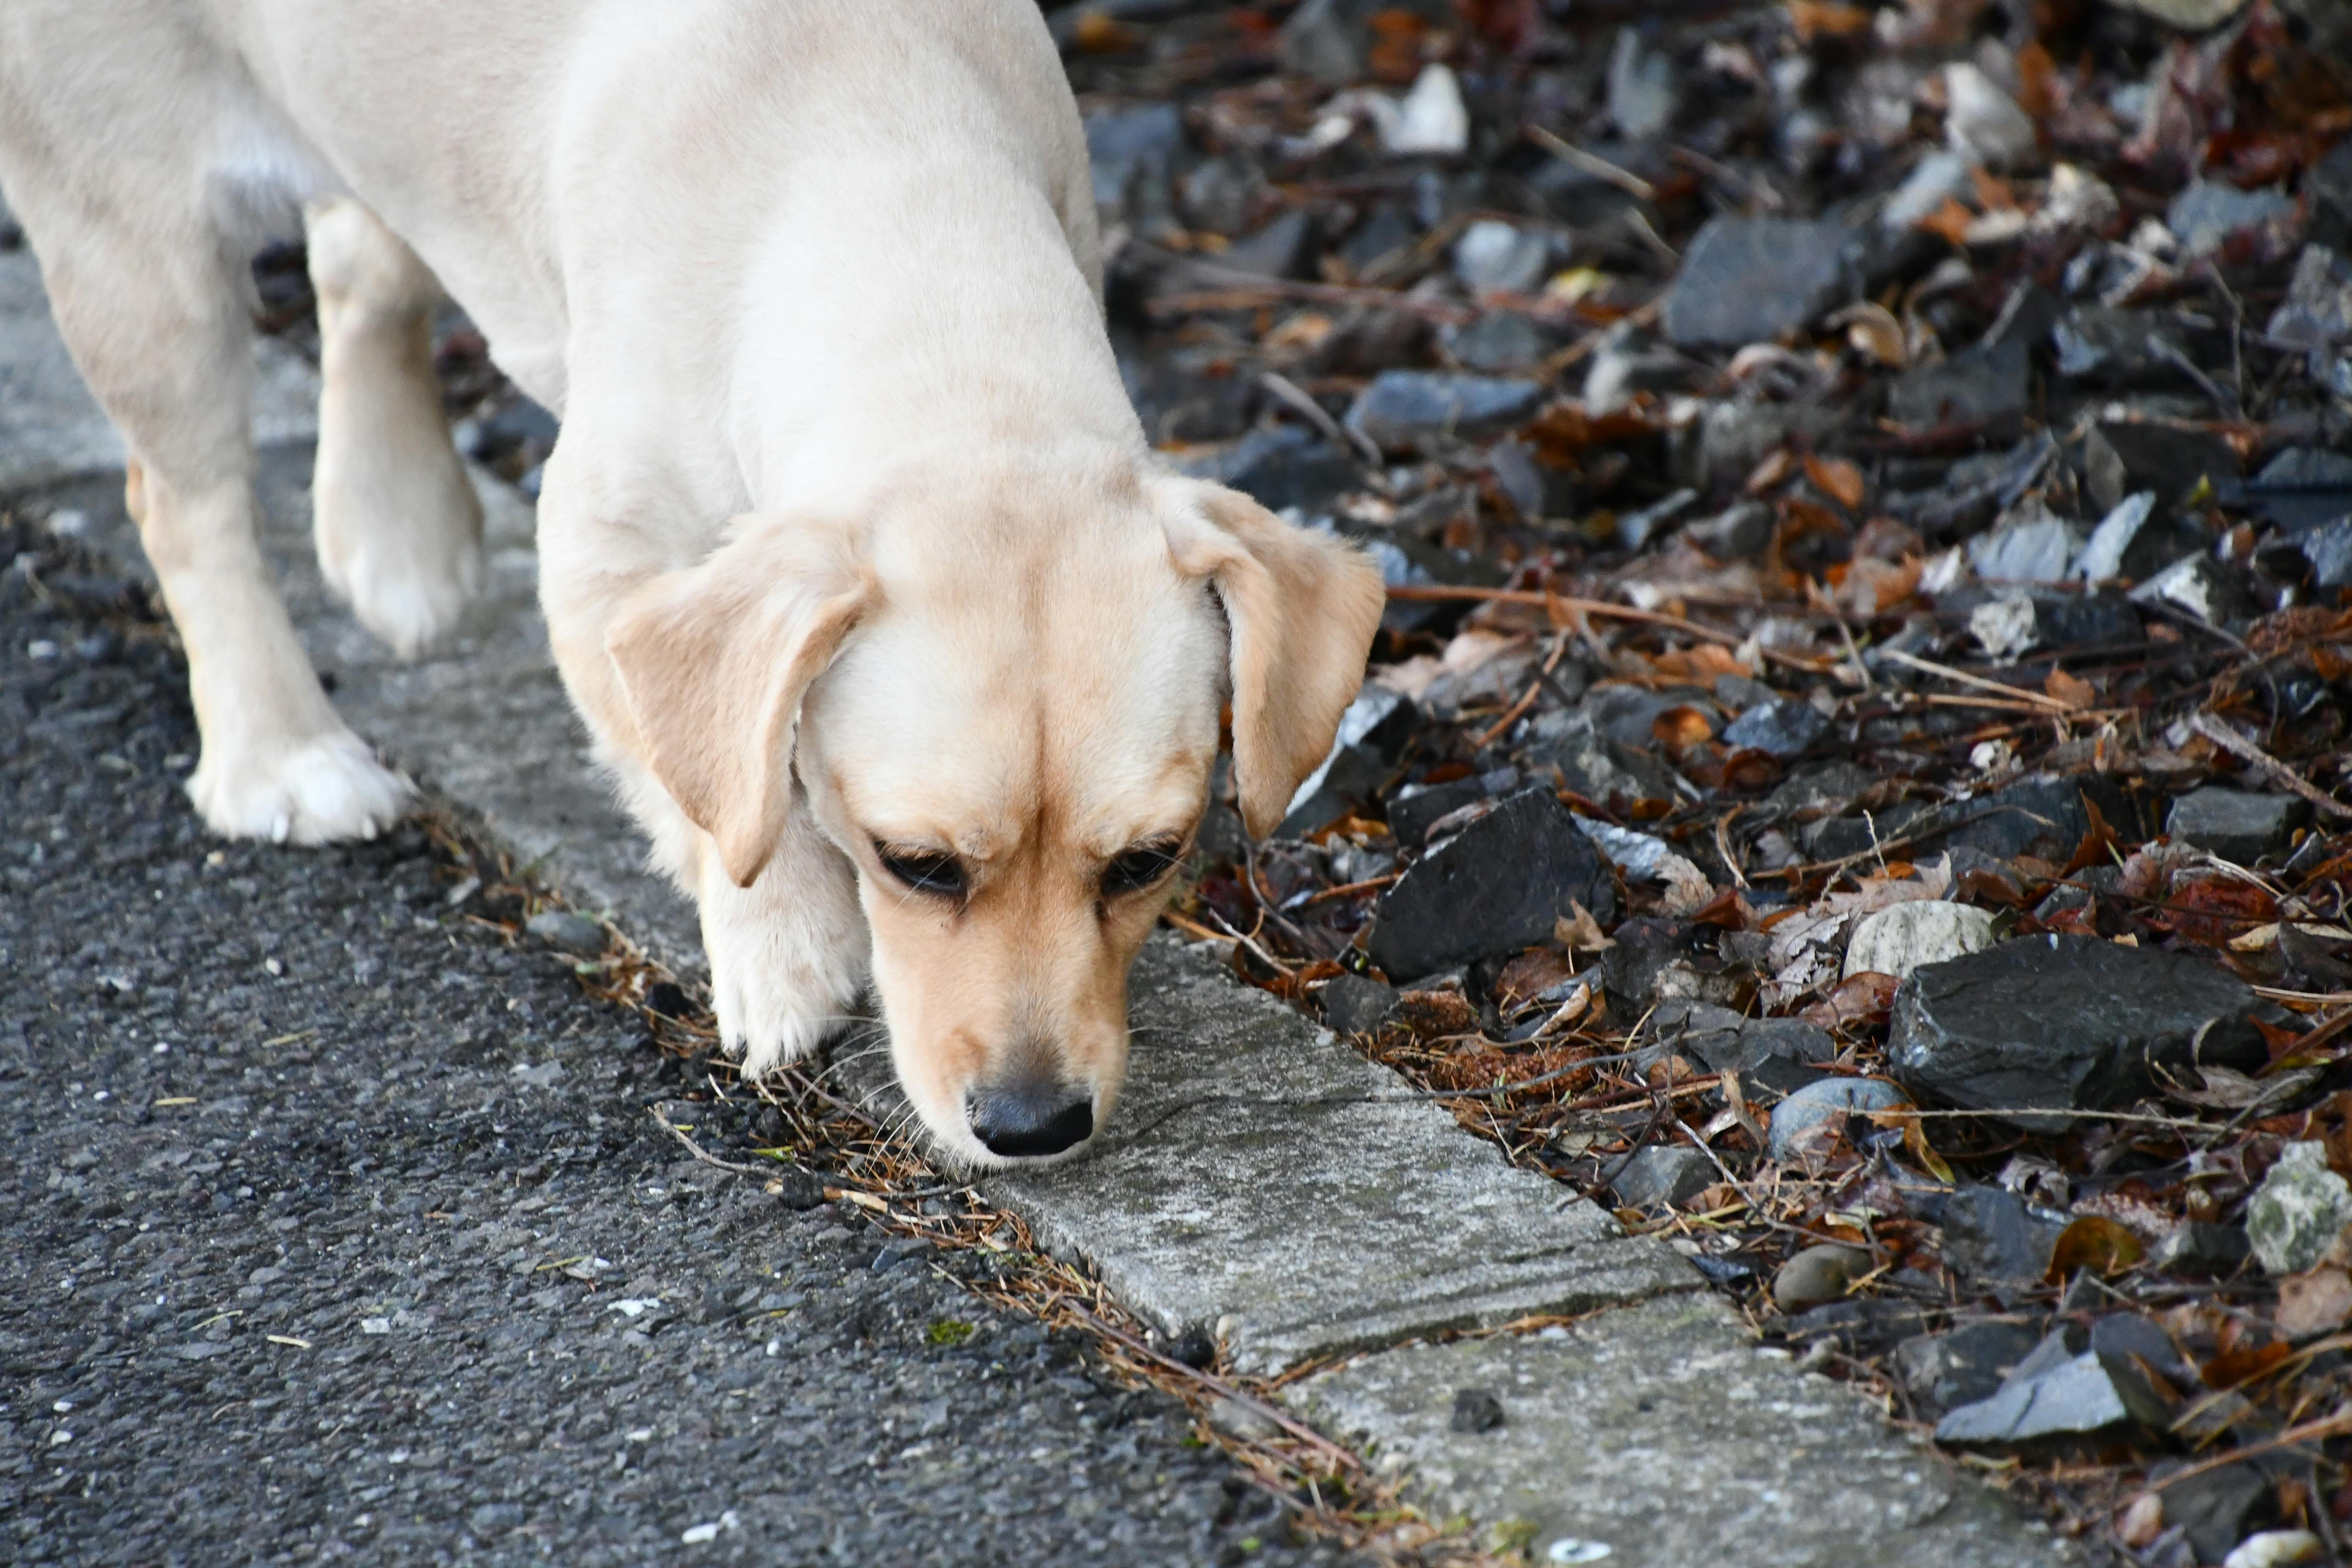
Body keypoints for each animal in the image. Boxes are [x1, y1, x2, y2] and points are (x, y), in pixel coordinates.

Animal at [0, 3, 1383, 1166]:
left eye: (1148, 862)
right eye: (915, 864)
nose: (1032, 1128)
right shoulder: (598, 558)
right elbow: (724, 797)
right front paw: (785, 949)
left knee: (361, 259)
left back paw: (395, 530)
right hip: (138, 248)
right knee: (186, 505)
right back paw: (284, 750)